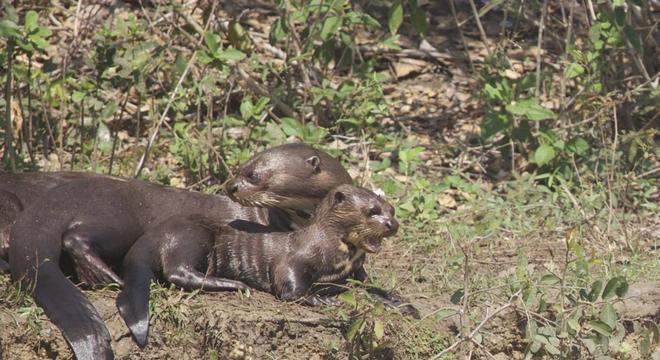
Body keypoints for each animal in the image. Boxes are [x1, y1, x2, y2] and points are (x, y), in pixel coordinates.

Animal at [6, 143, 356, 360]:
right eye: (241, 168)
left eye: (254, 174)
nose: (230, 187)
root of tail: (50, 203)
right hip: (119, 218)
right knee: (75, 238)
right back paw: (107, 276)